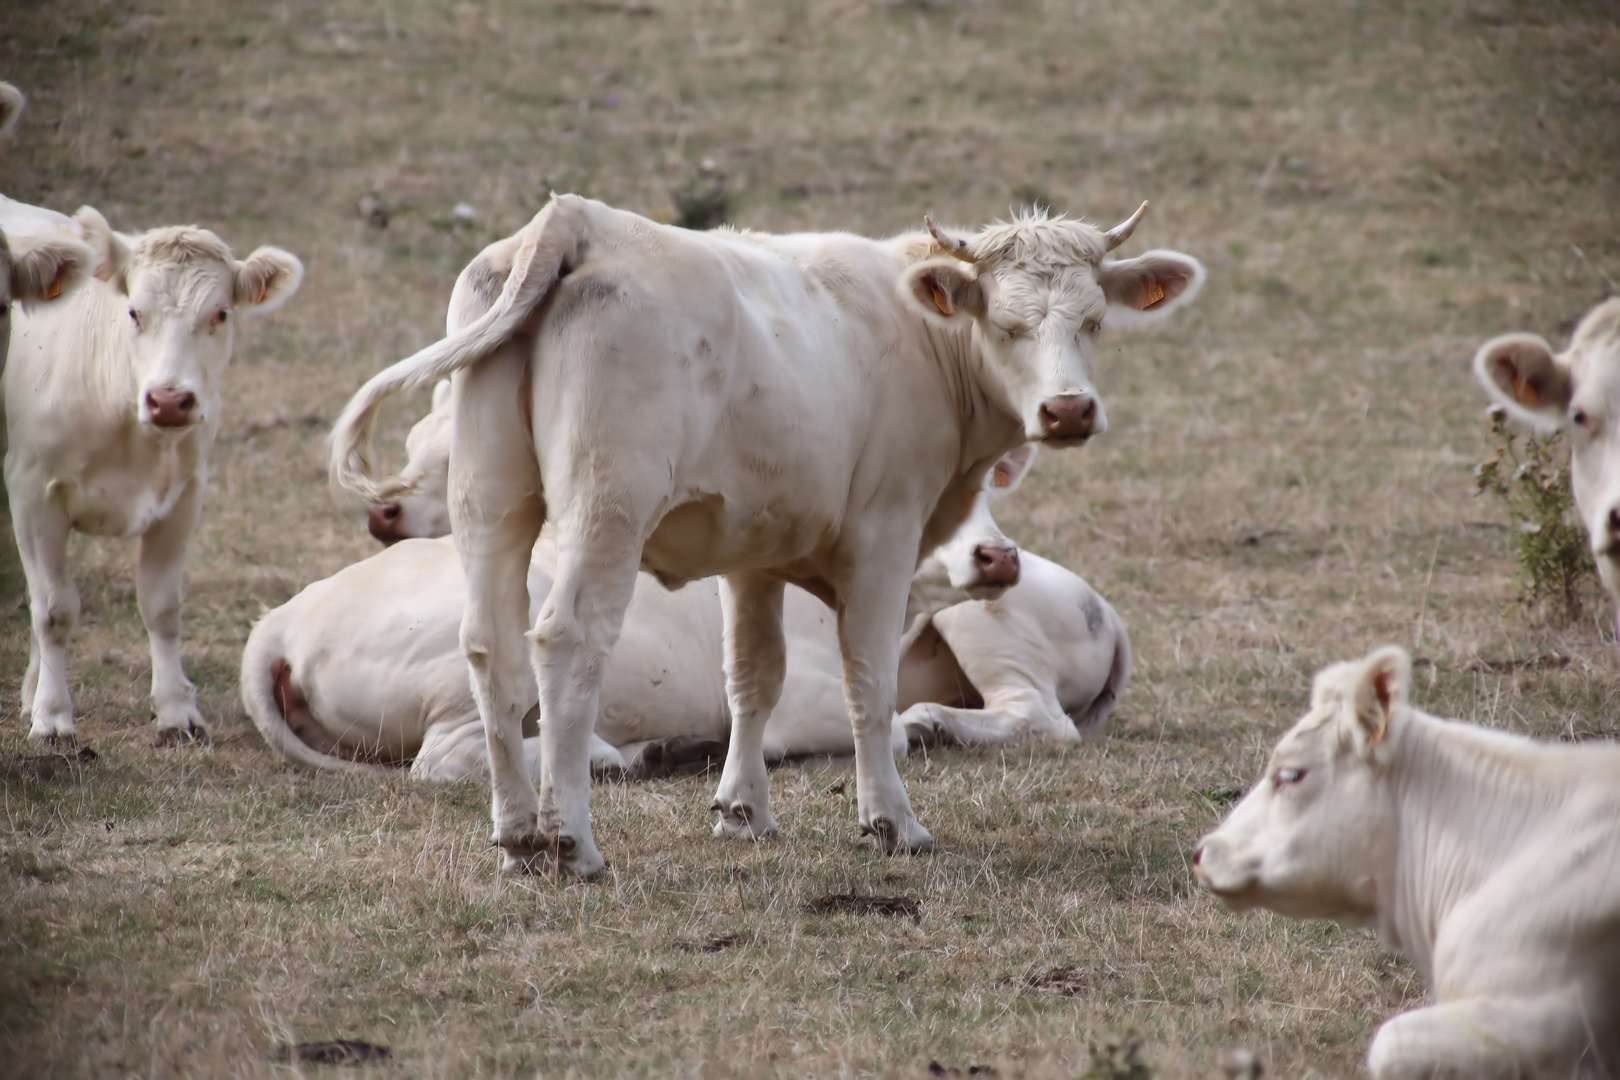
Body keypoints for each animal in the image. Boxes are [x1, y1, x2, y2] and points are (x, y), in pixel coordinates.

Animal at [5, 215, 304, 748]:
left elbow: (161, 607)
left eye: (221, 313)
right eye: (134, 312)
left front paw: (175, 711)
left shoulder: (184, 498)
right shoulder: (30, 490)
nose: (168, 400)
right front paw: (54, 717)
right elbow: (55, 610)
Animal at [332, 194, 1205, 874]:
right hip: (605, 507)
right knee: (565, 640)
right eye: (1009, 324)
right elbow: (870, 683)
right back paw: (571, 843)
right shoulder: (884, 536)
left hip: (490, 498)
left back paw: (517, 839)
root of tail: (575, 220)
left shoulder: (752, 548)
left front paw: (742, 811)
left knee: (489, 642)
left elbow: (752, 676)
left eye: (1093, 321)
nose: (1068, 410)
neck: (921, 337)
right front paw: (892, 821)